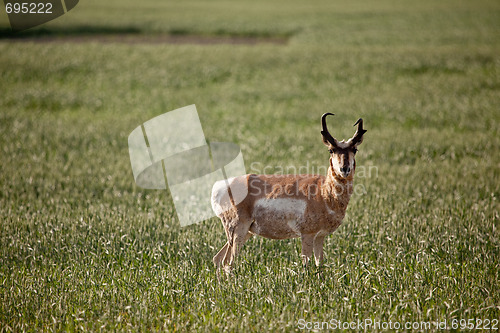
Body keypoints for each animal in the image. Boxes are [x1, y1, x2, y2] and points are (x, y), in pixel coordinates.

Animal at [211, 113, 368, 272]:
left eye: (355, 149)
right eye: (331, 150)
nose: (344, 169)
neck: (323, 191)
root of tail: (221, 185)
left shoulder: (320, 236)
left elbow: (320, 265)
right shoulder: (307, 235)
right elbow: (306, 265)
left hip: (245, 233)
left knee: (217, 259)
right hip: (238, 231)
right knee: (227, 263)